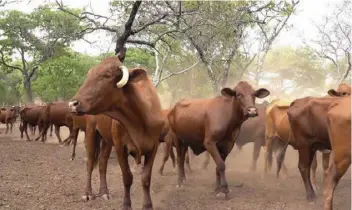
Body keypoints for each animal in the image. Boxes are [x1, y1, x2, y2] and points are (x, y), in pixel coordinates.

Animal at [68, 55, 165, 210]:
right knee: (90, 163)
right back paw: (88, 193)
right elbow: (127, 177)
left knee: (102, 163)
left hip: (107, 140)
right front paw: (126, 205)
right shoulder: (120, 147)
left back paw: (104, 192)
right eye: (89, 75)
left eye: (107, 75)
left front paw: (147, 205)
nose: (72, 104)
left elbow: (146, 178)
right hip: (91, 132)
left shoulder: (153, 147)